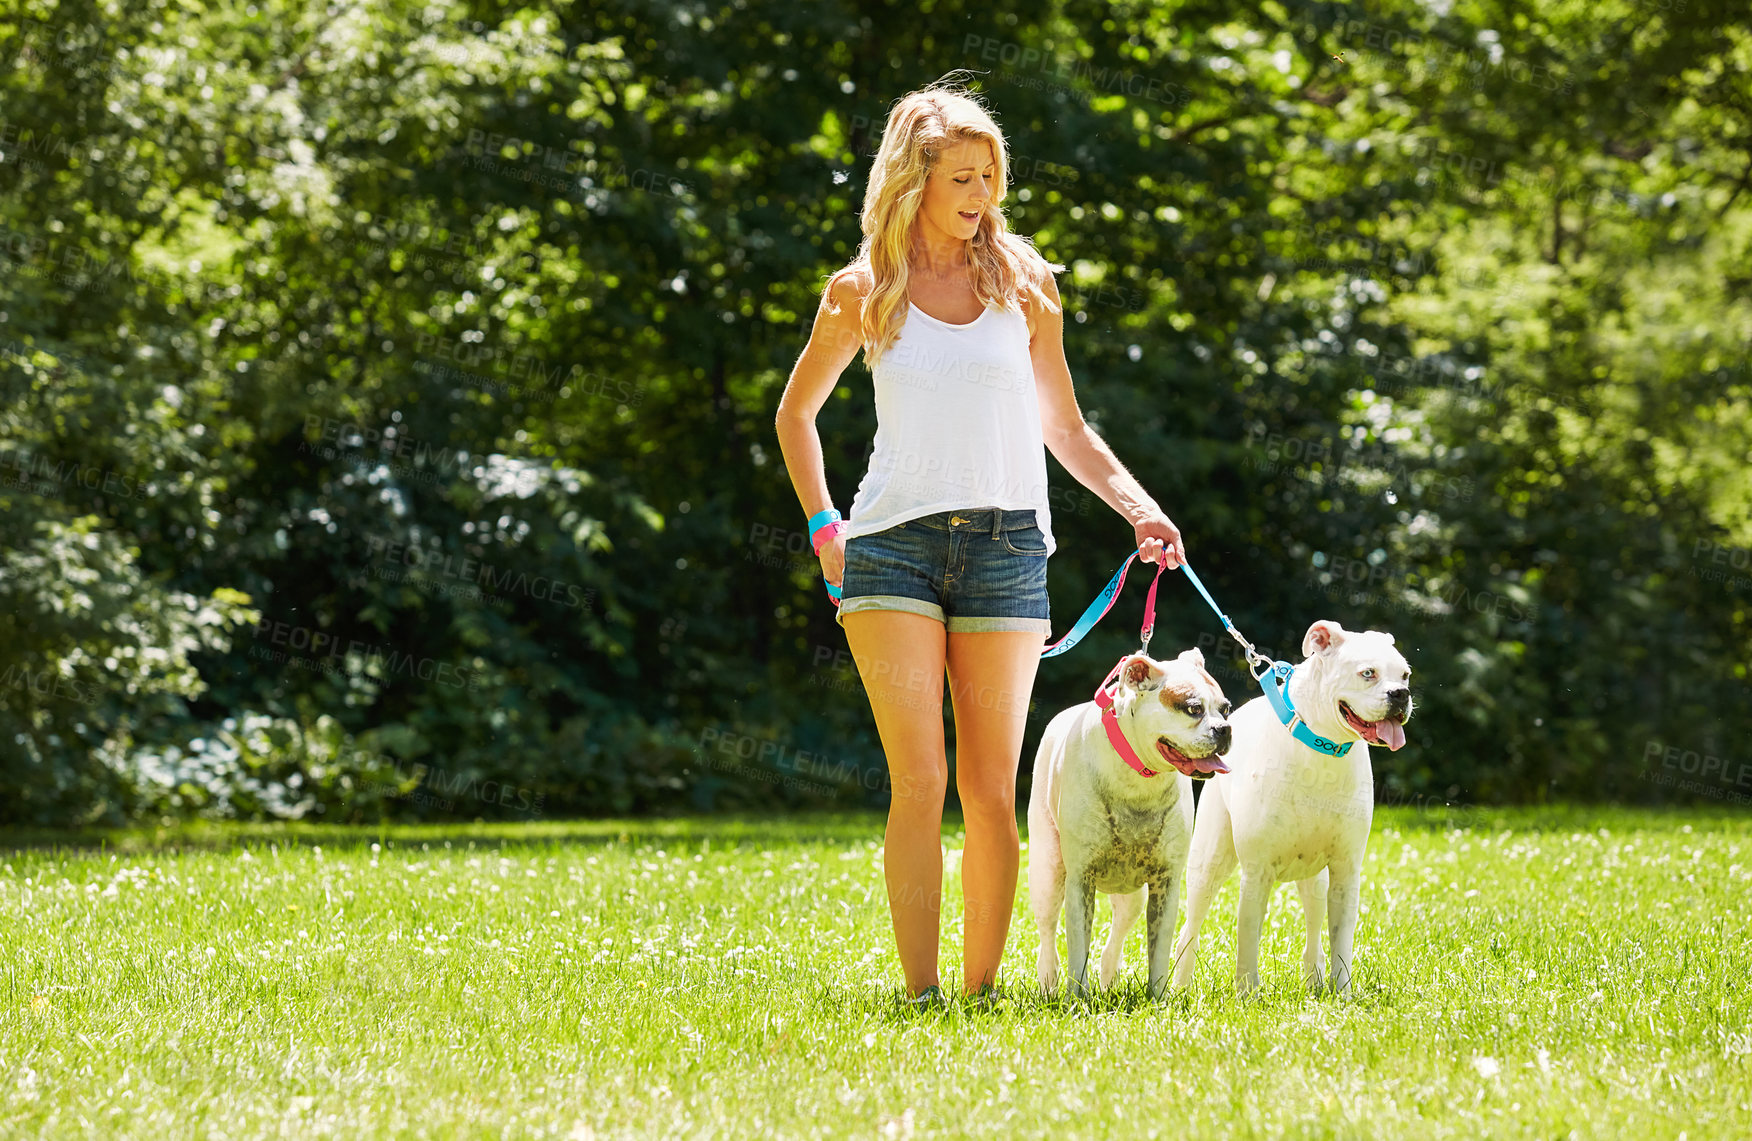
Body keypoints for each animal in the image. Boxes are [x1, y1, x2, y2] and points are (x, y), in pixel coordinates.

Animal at [1023, 652, 1233, 1002]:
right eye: (1193, 708)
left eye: (1226, 708)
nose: (1225, 729)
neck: (1140, 779)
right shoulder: (1080, 881)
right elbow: (1078, 949)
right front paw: (1077, 1000)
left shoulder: (1165, 884)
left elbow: (1159, 949)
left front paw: (1158, 999)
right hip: (1047, 875)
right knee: (1048, 934)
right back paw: (1049, 980)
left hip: (1131, 895)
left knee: (1116, 936)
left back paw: (1109, 976)